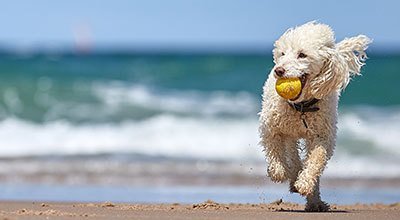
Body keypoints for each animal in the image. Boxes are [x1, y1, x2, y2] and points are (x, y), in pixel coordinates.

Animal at [260, 21, 372, 211]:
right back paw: (293, 176)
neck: (301, 107)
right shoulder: (271, 127)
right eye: (283, 54)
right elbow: (274, 150)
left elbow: (316, 159)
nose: (279, 70)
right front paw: (279, 172)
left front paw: (305, 183)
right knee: (292, 153)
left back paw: (314, 200)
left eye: (302, 55)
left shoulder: (322, 136)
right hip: (289, 133)